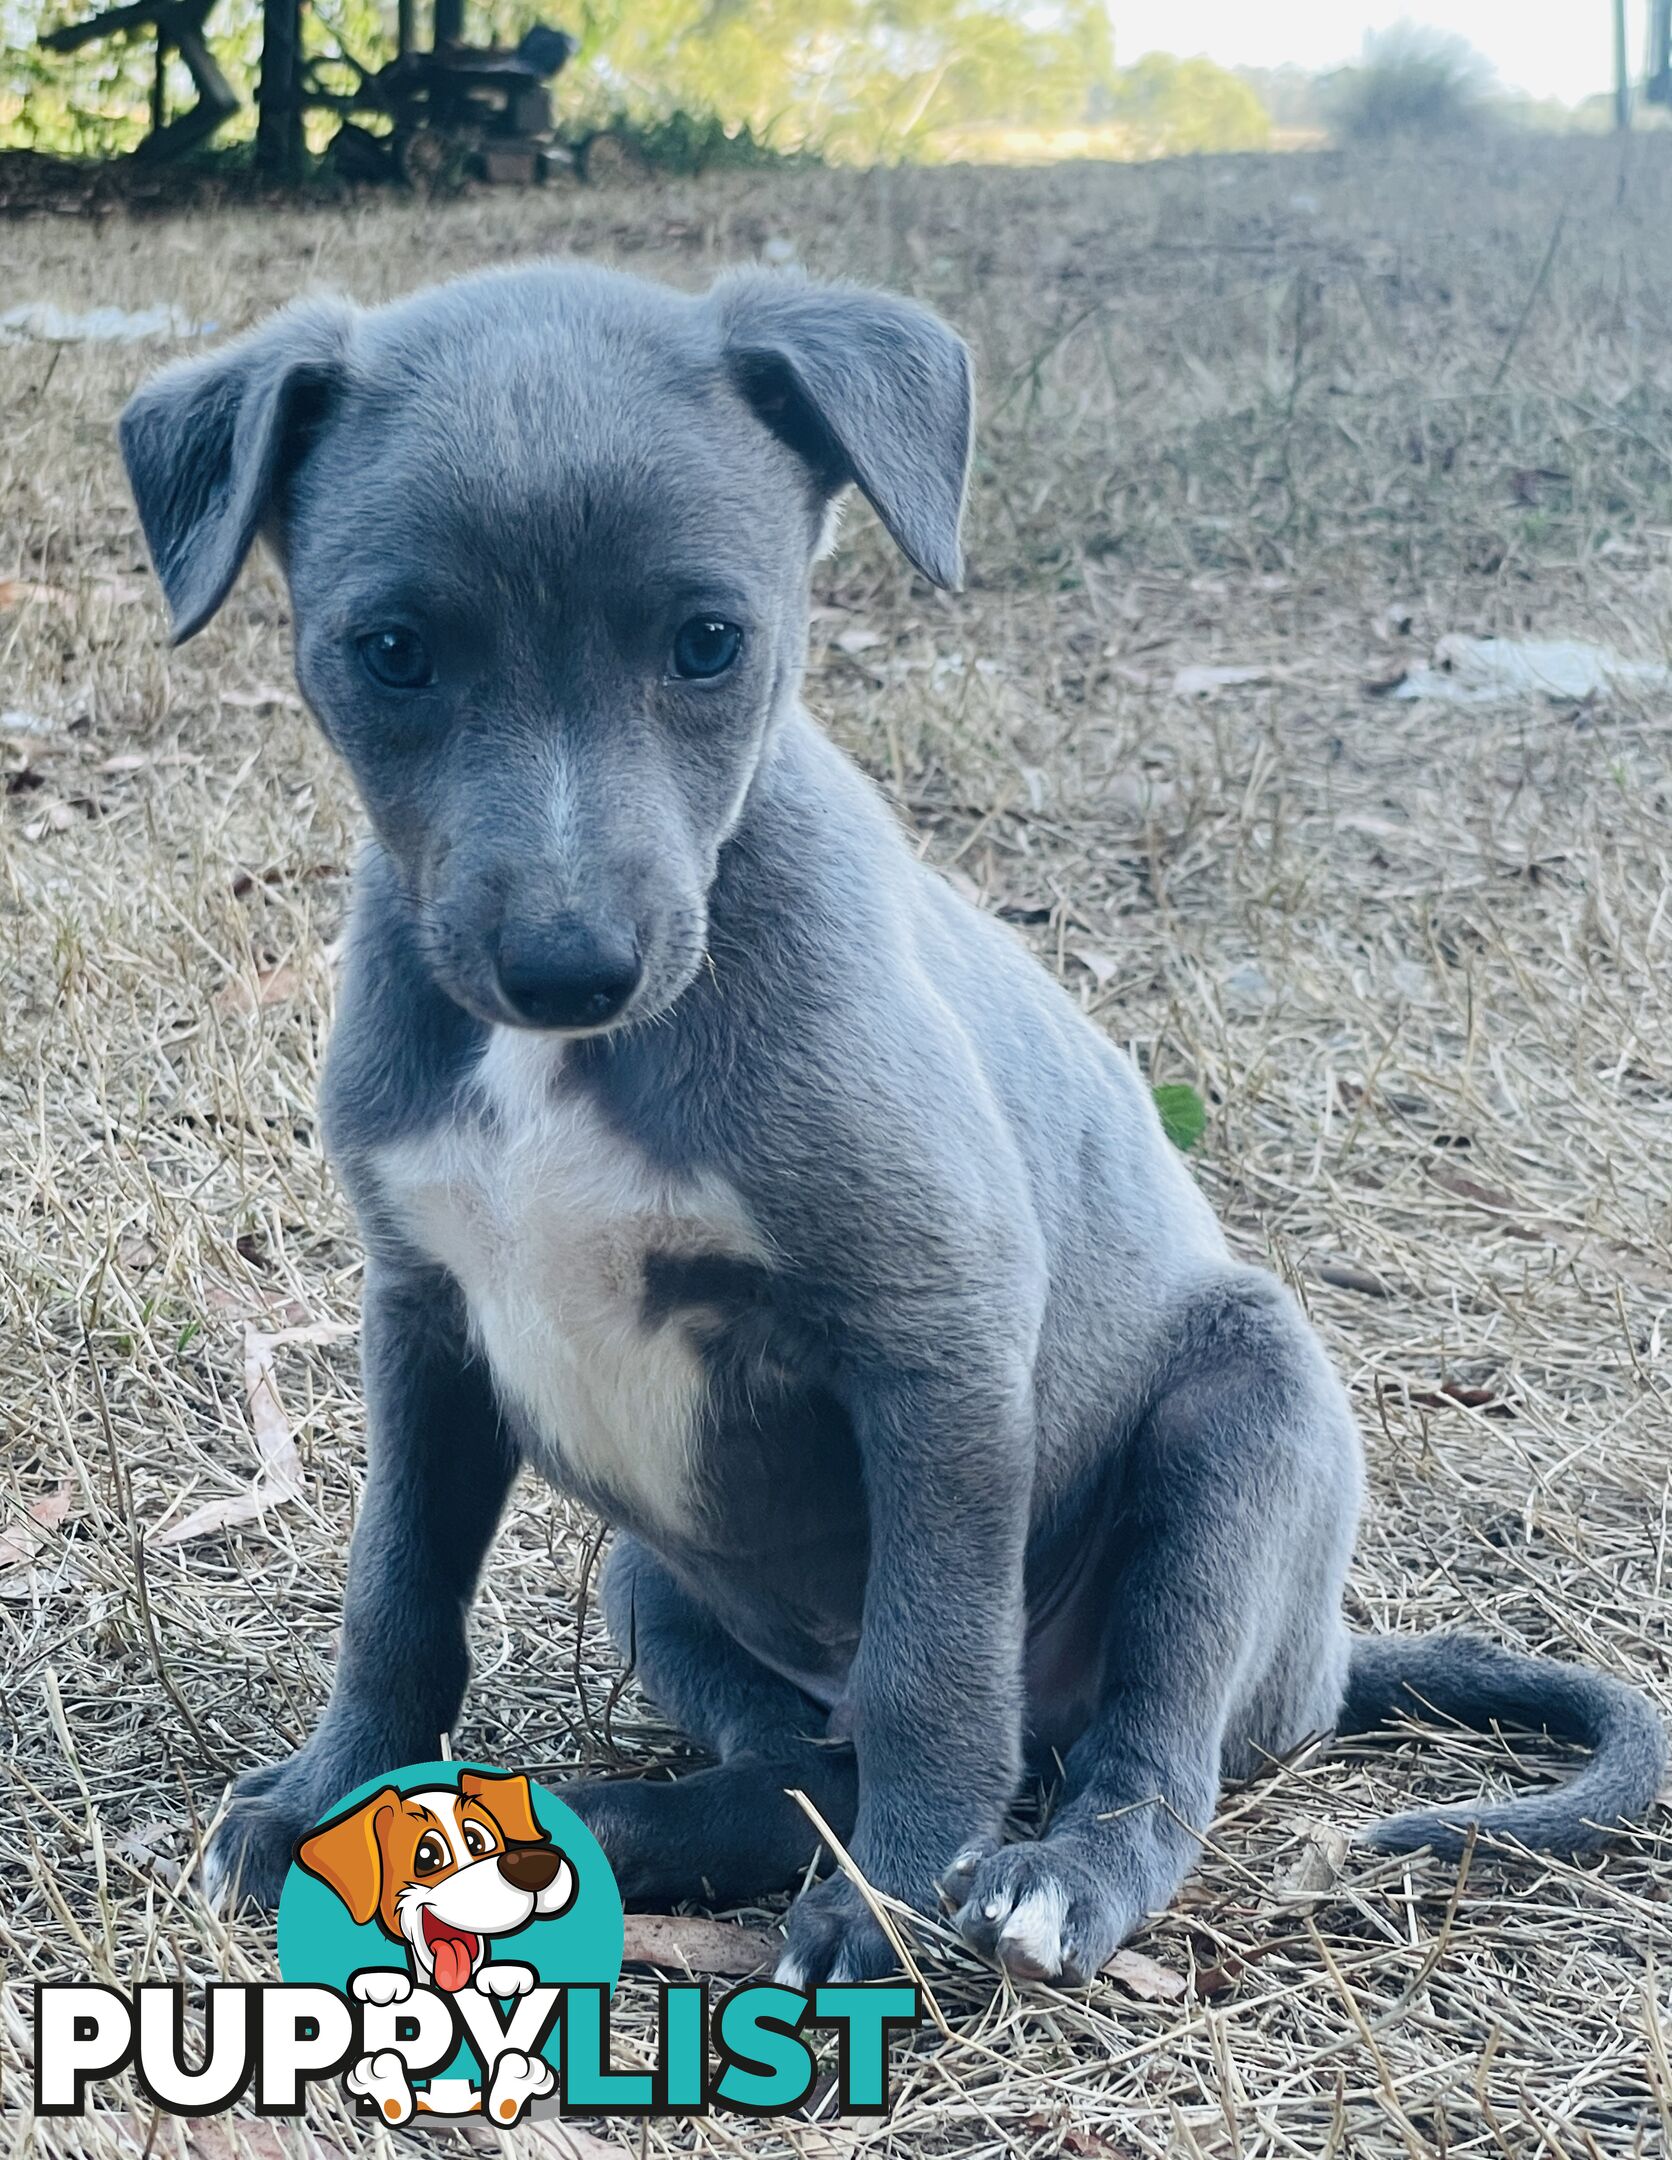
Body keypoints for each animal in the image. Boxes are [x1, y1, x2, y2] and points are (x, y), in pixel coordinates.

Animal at [120, 261, 1659, 1978]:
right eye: (390, 650)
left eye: (710, 641)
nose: (570, 967)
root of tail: (1326, 1653)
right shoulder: (426, 1325)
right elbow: (395, 1592)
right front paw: (335, 1800)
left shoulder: (933, 1334)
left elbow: (933, 1659)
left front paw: (899, 1903)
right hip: (651, 1580)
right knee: (798, 1773)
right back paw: (619, 1829)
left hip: (1238, 1442)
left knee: (1138, 1753)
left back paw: (1041, 1875)